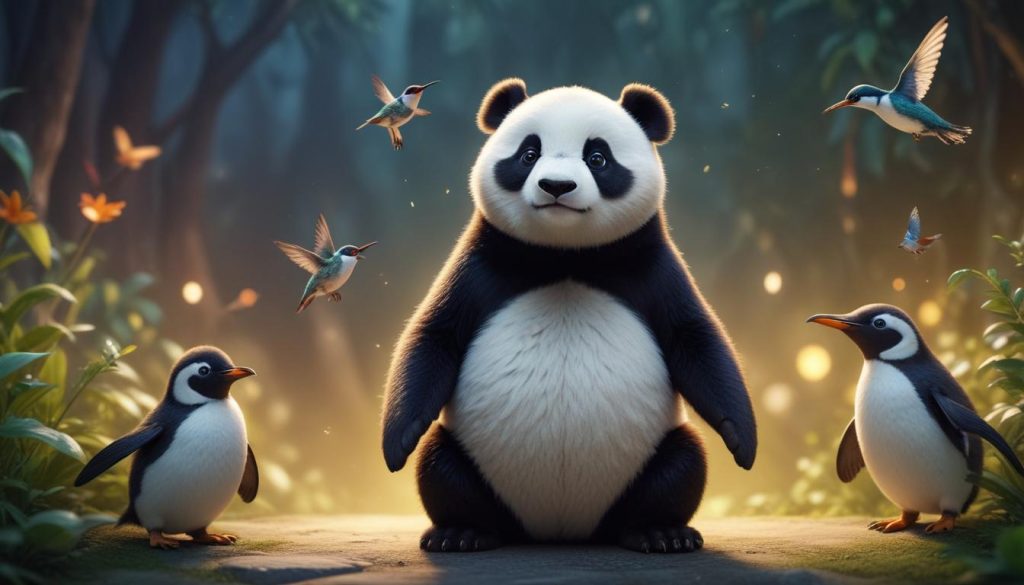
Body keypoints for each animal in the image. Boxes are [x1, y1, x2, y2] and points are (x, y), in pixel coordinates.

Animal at [382, 79, 757, 554]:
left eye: (597, 158)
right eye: (528, 154)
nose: (556, 185)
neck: (565, 256)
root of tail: (560, 528)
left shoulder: (652, 268)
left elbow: (695, 338)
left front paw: (743, 441)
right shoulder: (480, 264)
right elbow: (434, 334)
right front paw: (398, 442)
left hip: (650, 459)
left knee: (683, 462)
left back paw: (660, 532)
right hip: (470, 457)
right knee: (439, 463)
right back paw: (462, 532)